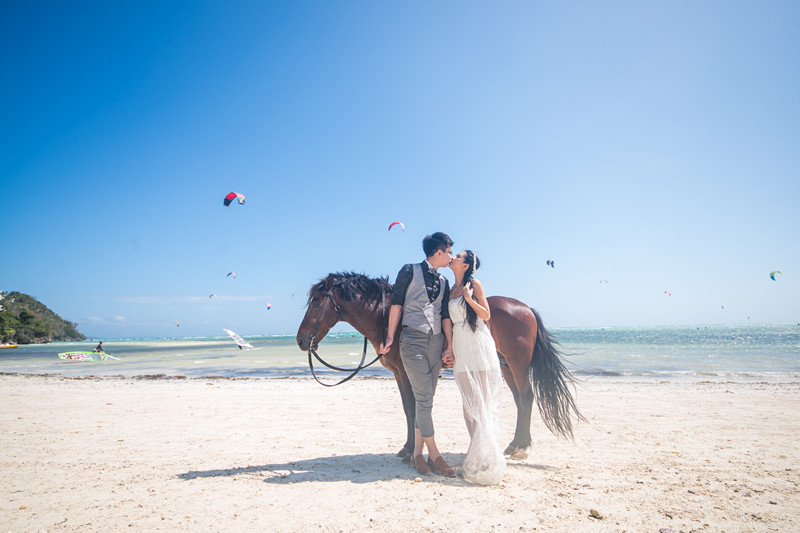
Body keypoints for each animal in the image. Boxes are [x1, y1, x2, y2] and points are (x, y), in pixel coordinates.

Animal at [296, 272, 580, 460]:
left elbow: (413, 409)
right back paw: (514, 445)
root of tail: (526, 308)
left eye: (316, 302)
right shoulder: (400, 374)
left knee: (527, 396)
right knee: (521, 400)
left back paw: (520, 447)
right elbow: (408, 409)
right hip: (507, 366)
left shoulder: (408, 372)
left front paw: (410, 450)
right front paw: (407, 447)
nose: (300, 340)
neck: (390, 319)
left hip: (517, 364)